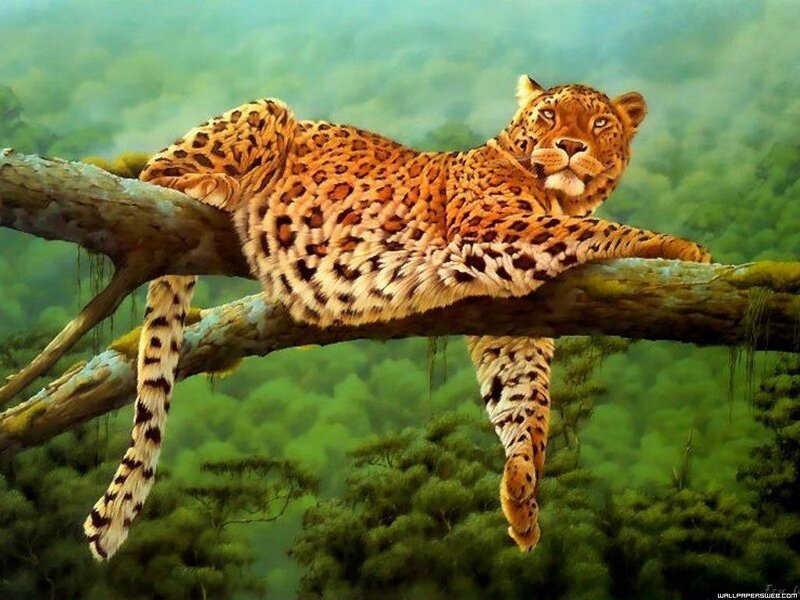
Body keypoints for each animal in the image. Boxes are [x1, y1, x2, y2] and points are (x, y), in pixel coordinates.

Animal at [84, 75, 711, 560]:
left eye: (600, 123)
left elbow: (524, 402)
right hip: (265, 113)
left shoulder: (510, 320)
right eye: (550, 115)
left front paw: (522, 493)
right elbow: (598, 230)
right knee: (154, 173)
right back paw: (215, 184)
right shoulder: (495, 228)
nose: (572, 145)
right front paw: (684, 248)